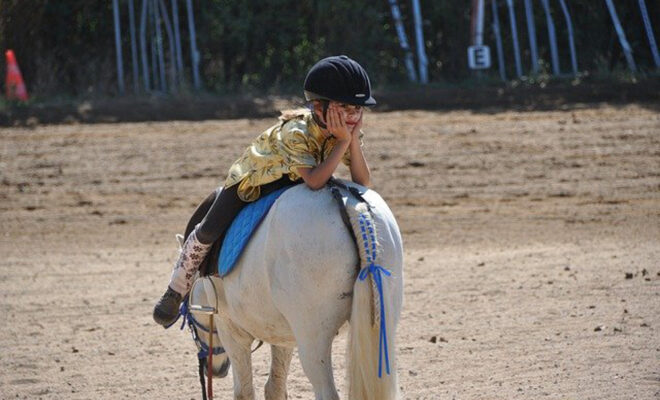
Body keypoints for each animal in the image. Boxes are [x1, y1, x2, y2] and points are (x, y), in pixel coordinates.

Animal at [187, 181, 402, 400]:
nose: (216, 370)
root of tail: (349, 203)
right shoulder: (283, 336)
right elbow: (274, 387)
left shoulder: (231, 330)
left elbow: (244, 392)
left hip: (313, 341)